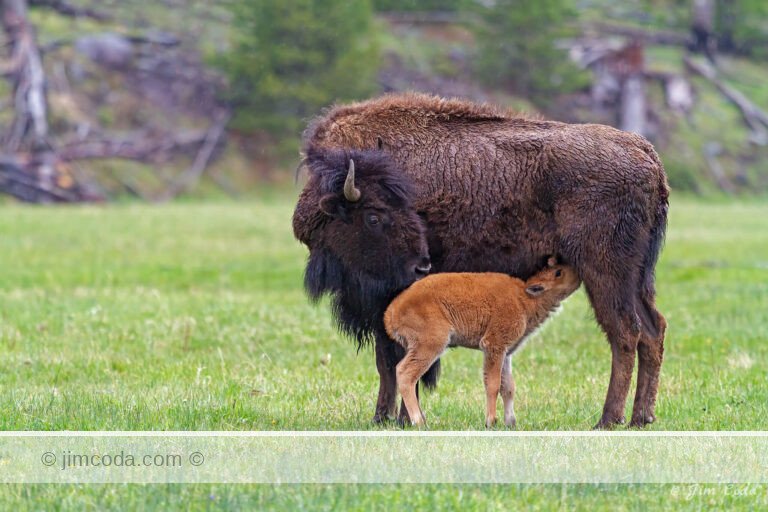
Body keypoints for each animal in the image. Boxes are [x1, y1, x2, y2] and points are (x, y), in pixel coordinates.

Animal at [292, 93, 669, 428]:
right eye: (375, 216)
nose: (421, 266)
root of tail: (647, 156)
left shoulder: (388, 300)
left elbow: (397, 360)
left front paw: (396, 419)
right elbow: (387, 361)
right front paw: (384, 418)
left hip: (605, 272)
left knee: (625, 332)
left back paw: (608, 419)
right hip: (638, 277)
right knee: (653, 330)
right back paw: (641, 417)